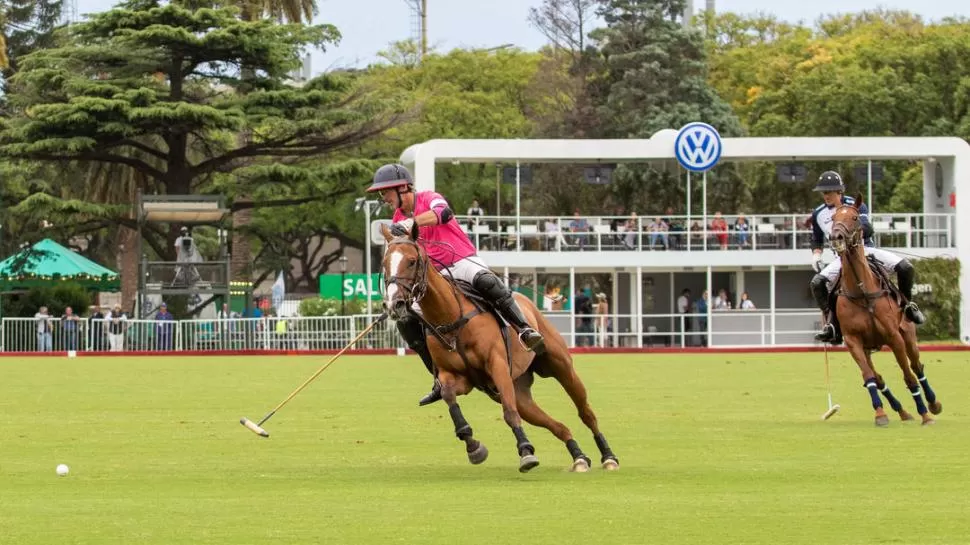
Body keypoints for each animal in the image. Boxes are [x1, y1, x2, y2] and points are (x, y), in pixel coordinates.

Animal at [380, 223, 620, 474]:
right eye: (384, 263)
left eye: (411, 261)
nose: (394, 304)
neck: (450, 317)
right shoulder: (457, 377)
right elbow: (448, 395)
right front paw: (473, 446)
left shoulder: (497, 365)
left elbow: (509, 412)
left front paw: (526, 452)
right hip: (519, 390)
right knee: (556, 424)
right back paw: (579, 457)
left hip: (561, 366)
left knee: (586, 412)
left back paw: (608, 456)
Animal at [828, 198, 940, 428]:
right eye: (833, 218)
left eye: (855, 217)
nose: (836, 237)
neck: (861, 291)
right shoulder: (853, 341)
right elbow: (869, 377)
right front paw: (880, 414)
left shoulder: (894, 337)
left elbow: (909, 376)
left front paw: (925, 415)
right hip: (868, 347)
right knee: (878, 377)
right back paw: (902, 412)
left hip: (908, 335)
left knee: (917, 367)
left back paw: (933, 404)